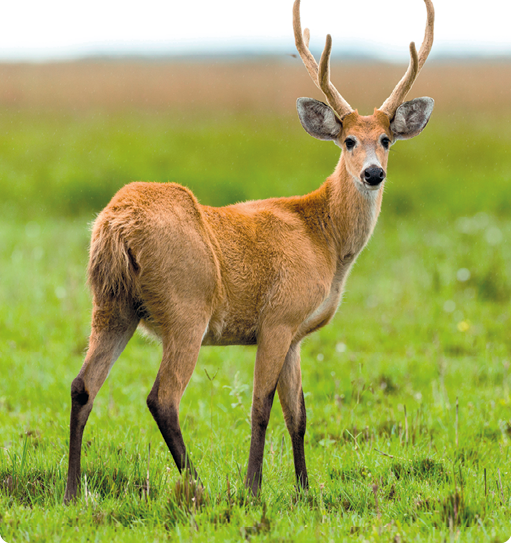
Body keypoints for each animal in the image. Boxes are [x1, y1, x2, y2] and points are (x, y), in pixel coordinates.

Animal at [63, 0, 436, 504]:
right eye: (348, 140)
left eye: (387, 139)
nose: (373, 173)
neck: (323, 237)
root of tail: (115, 225)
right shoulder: (277, 319)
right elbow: (261, 407)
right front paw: (253, 488)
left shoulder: (296, 334)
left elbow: (299, 414)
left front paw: (305, 490)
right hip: (186, 306)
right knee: (162, 397)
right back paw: (199, 486)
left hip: (111, 303)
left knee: (83, 386)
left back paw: (71, 491)